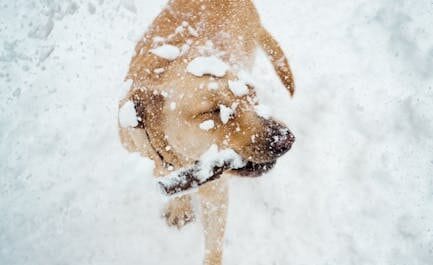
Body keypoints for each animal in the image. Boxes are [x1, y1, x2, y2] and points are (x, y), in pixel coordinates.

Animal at [117, 1, 294, 262]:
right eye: (212, 111)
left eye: (250, 95)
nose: (287, 139)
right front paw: (179, 204)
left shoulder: (214, 187)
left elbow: (214, 245)